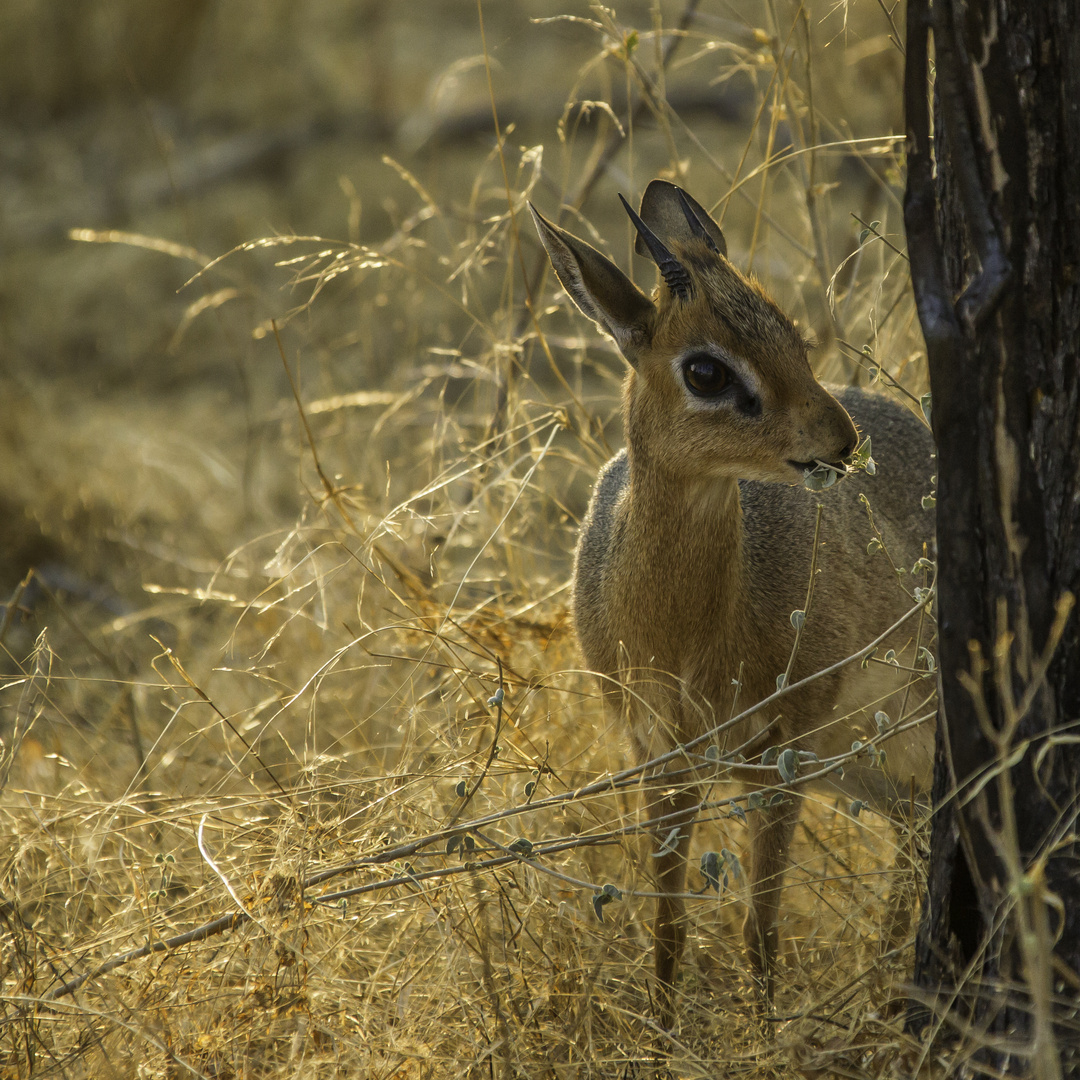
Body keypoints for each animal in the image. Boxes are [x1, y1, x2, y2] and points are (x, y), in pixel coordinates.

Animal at [531, 183, 937, 1019]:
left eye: (785, 327)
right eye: (707, 371)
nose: (840, 440)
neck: (685, 629)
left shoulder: (777, 761)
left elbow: (759, 929)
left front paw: (765, 1030)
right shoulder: (661, 758)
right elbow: (668, 925)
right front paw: (660, 1029)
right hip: (868, 764)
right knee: (918, 834)